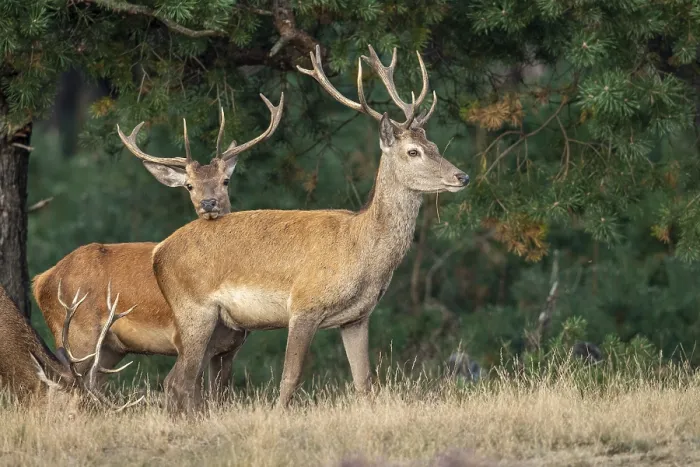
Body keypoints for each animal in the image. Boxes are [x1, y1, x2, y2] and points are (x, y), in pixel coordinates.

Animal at [32, 94, 284, 398]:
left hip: (109, 349)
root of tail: (40, 280)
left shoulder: (228, 348)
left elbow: (218, 396)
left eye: (225, 180)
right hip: (77, 333)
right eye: (189, 186)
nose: (208, 203)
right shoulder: (184, 339)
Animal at [150, 44, 470, 412]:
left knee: (177, 379)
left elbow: (364, 382)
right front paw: (276, 416)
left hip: (214, 321)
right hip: (193, 309)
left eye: (435, 147)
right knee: (180, 380)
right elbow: (290, 378)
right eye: (413, 151)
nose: (462, 176)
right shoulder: (304, 305)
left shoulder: (357, 317)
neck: (360, 250)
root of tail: (158, 254)